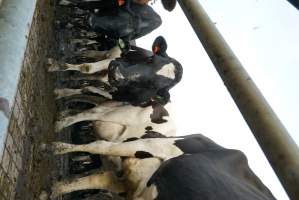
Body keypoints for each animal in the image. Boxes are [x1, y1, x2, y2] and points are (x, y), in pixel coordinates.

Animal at [48, 36, 183, 106]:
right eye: (150, 59)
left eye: (152, 86)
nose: (117, 75)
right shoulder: (114, 60)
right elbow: (87, 68)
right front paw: (56, 65)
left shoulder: (115, 97)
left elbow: (87, 88)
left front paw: (62, 92)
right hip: (111, 54)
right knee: (93, 55)